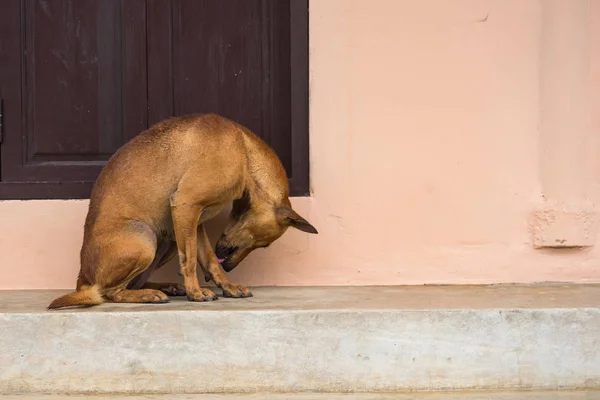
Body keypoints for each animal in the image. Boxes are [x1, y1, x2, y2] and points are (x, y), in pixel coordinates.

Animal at [49, 113, 316, 310]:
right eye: (265, 245)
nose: (231, 268)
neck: (245, 153)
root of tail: (82, 277)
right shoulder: (186, 205)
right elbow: (189, 260)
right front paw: (195, 292)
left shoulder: (194, 222)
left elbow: (209, 259)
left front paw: (227, 286)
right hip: (145, 237)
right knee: (109, 293)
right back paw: (150, 294)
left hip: (166, 240)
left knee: (127, 285)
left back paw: (165, 286)